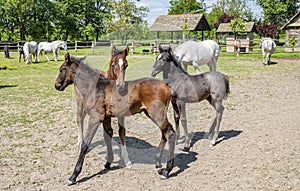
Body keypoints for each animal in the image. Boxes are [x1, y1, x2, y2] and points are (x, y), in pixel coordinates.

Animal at [55, 53, 176, 184]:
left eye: (61, 69)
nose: (56, 85)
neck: (95, 87)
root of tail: (166, 86)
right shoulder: (106, 118)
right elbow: (108, 136)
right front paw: (108, 162)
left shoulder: (95, 118)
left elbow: (85, 144)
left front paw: (73, 176)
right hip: (153, 114)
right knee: (164, 133)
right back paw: (158, 163)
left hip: (157, 114)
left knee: (170, 133)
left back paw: (167, 170)